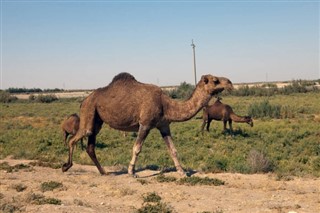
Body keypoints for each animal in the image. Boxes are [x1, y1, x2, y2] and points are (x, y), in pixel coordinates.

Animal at [62, 72, 232, 176]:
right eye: (215, 80)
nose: (230, 82)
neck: (166, 105)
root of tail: (84, 99)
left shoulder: (164, 125)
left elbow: (173, 150)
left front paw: (182, 172)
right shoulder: (145, 124)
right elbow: (137, 148)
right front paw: (131, 172)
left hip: (97, 120)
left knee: (90, 145)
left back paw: (103, 172)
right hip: (89, 111)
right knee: (75, 138)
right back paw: (66, 166)